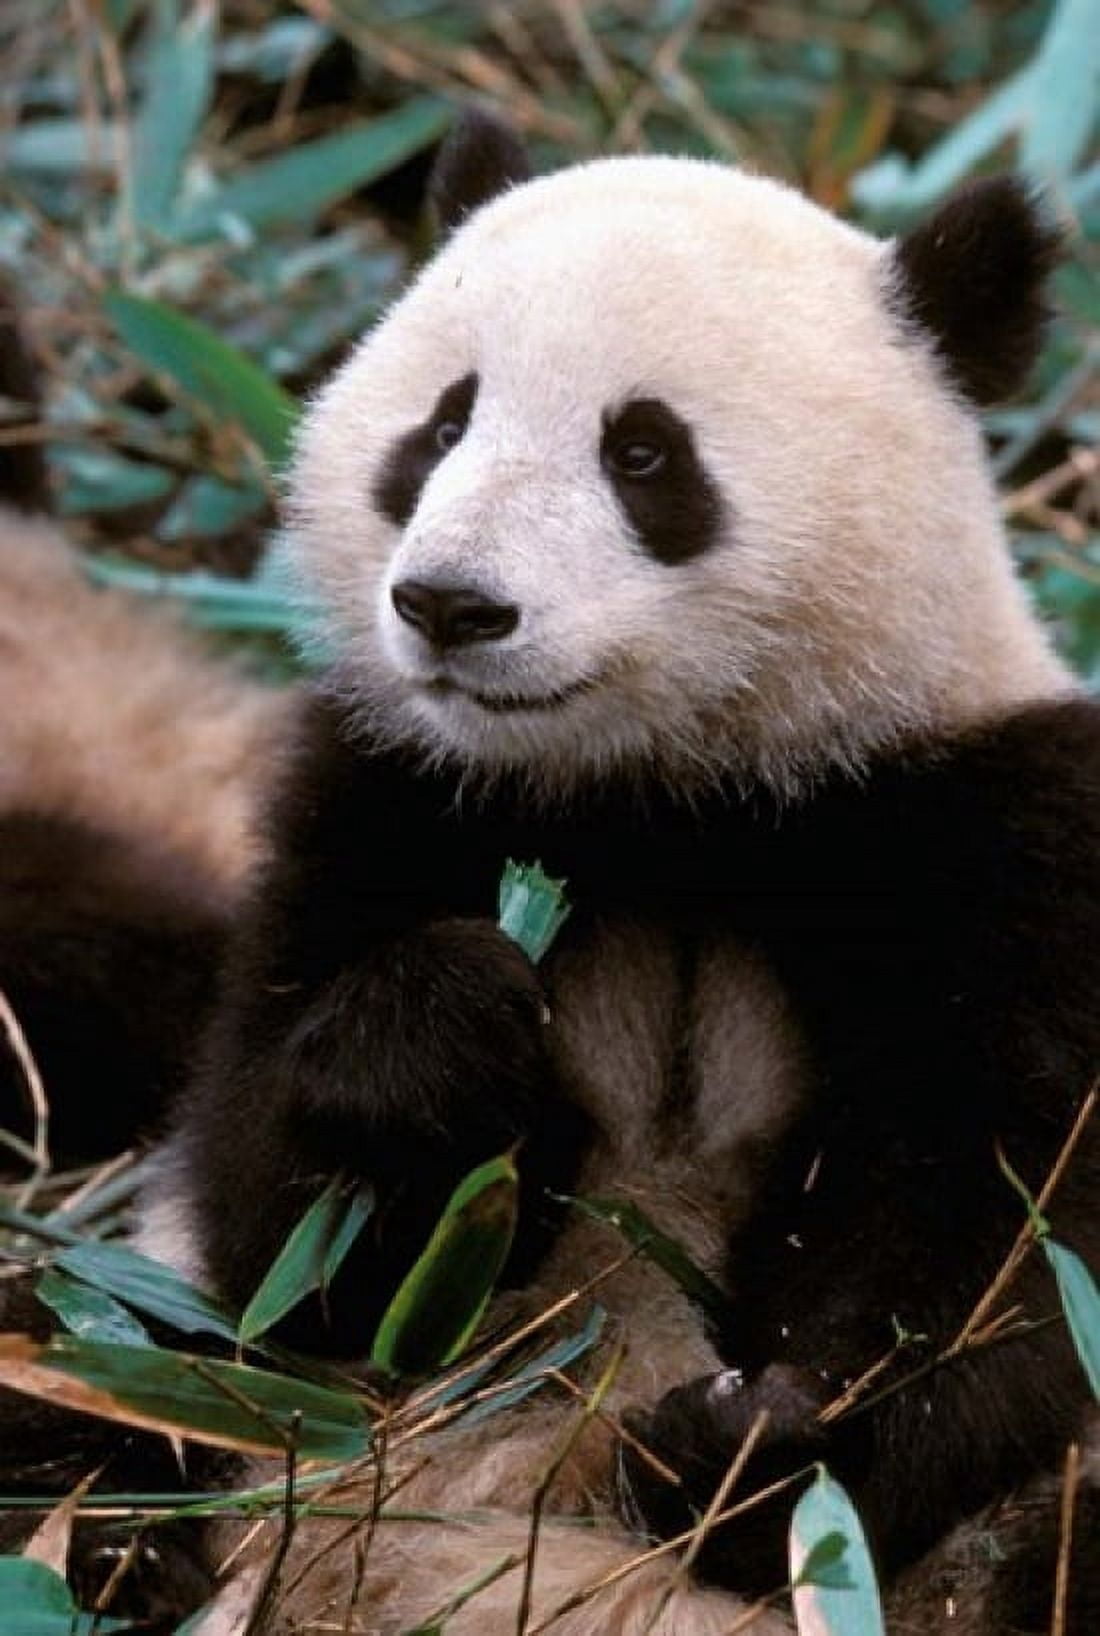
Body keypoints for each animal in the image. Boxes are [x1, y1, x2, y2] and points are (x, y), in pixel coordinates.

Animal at [3, 114, 1098, 1634]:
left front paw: (749, 1446)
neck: (663, 791)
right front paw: (442, 1024)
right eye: (441, 425)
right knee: (87, 1382)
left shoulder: (984, 828)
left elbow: (999, 1250)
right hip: (150, 1379)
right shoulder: (381, 797)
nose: (450, 605)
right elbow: (275, 1238)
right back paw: (125, 1555)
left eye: (642, 452)